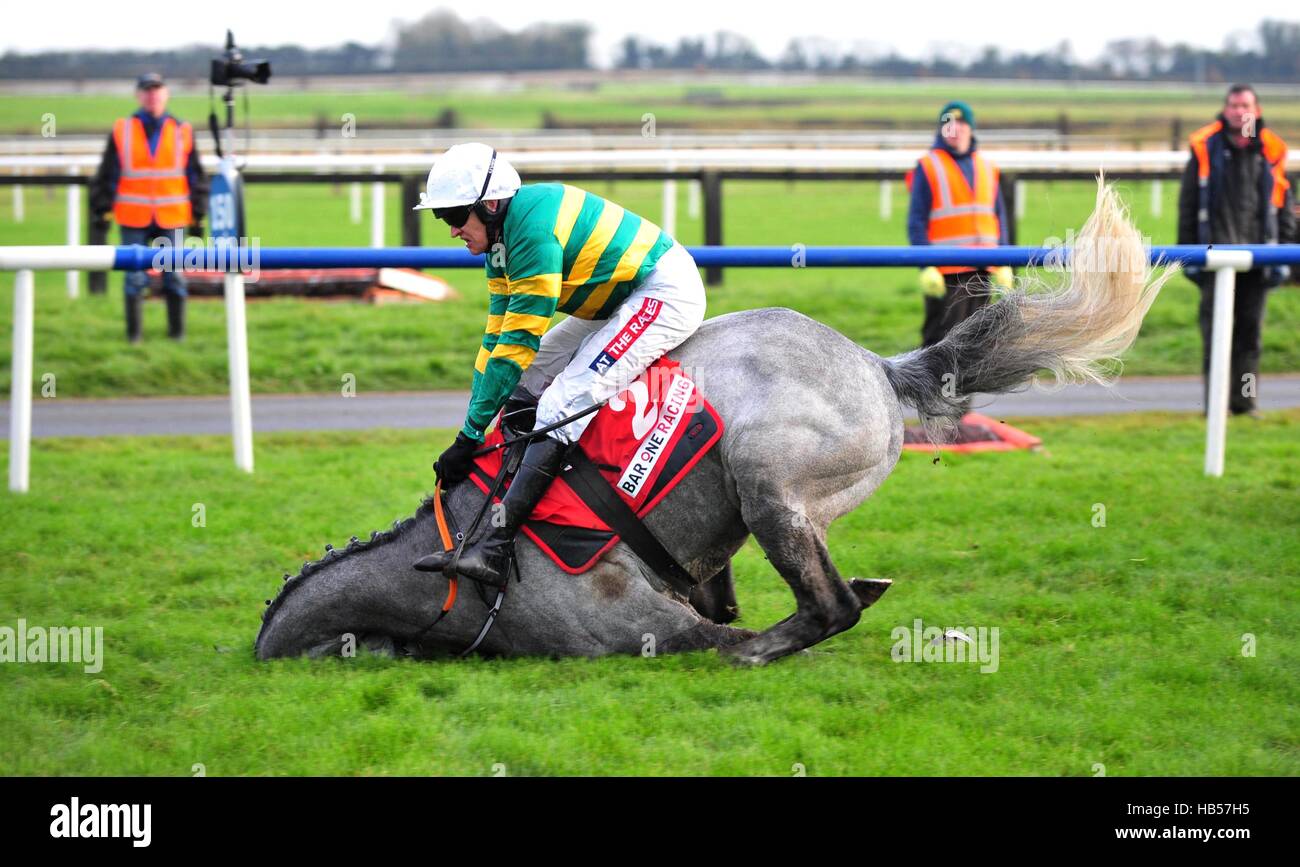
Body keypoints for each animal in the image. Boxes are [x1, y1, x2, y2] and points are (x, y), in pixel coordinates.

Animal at [258, 184, 1175, 665]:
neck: (440, 573)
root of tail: (878, 366)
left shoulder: (636, 626)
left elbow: (706, 627)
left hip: (767, 475)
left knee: (827, 607)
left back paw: (764, 647)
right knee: (830, 590)